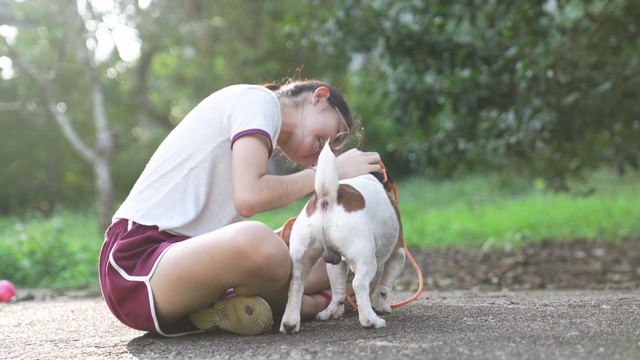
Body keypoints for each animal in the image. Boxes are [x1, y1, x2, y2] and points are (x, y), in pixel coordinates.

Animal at [278, 141, 404, 334]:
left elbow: (339, 290)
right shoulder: (399, 253)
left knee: (298, 284)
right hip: (366, 259)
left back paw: (293, 322)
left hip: (304, 258)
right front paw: (381, 305)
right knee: (359, 284)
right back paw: (371, 320)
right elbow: (384, 285)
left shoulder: (338, 262)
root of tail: (328, 197)